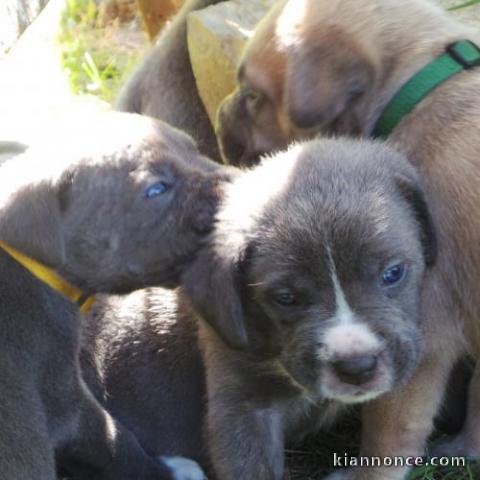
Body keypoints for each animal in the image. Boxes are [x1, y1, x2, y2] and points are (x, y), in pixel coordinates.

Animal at [218, 0, 480, 480]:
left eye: (253, 96)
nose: (221, 111)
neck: (422, 84)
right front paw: (469, 448)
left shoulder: (417, 336)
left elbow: (387, 436)